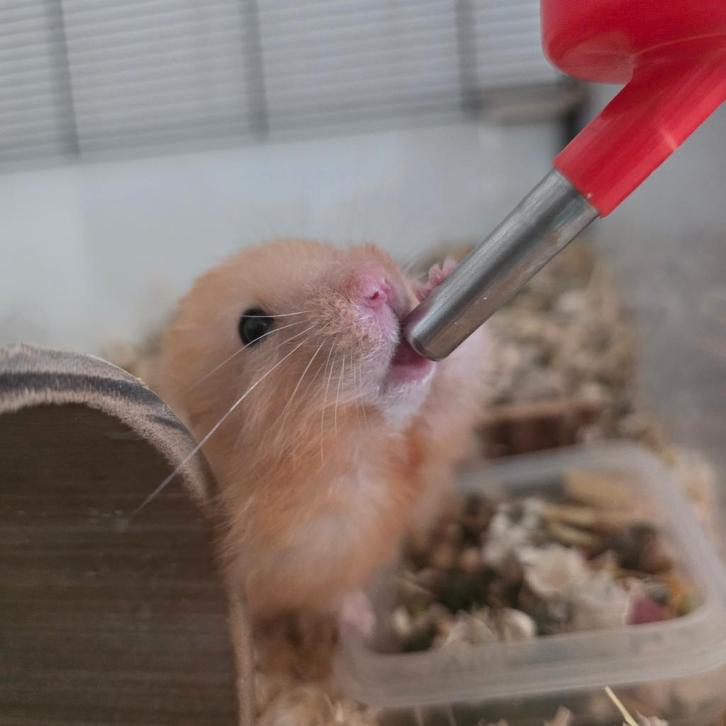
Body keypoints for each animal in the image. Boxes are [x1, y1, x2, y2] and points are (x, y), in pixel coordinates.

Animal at [149, 239, 491, 630]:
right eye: (253, 327)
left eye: (320, 245)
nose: (377, 285)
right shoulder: (302, 558)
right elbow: (324, 593)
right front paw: (361, 619)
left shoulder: (436, 440)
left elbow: (460, 369)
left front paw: (440, 276)